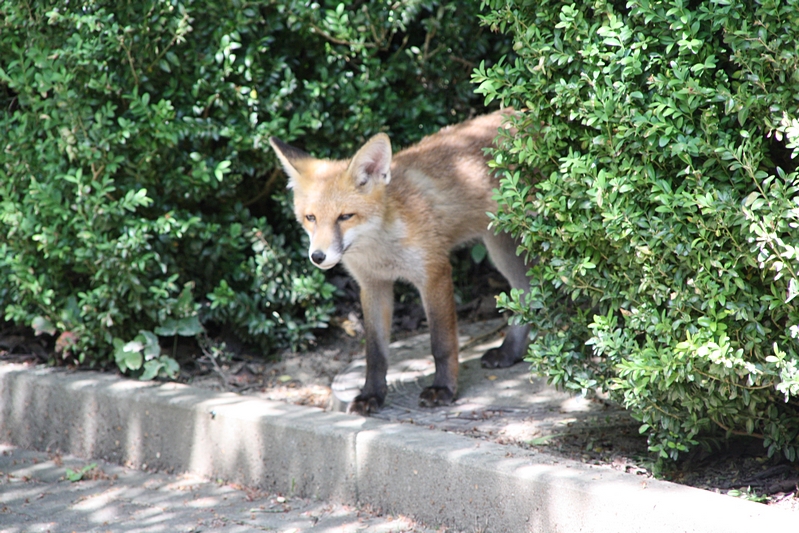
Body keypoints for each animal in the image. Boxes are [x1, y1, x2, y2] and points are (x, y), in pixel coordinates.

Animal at [272, 110, 536, 414]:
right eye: (310, 218)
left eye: (345, 216)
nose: (318, 256)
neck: (380, 250)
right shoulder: (373, 286)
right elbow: (375, 353)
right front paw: (371, 395)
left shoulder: (434, 273)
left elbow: (442, 344)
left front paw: (443, 389)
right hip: (501, 248)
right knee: (526, 294)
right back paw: (510, 351)